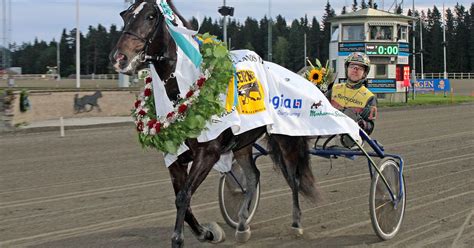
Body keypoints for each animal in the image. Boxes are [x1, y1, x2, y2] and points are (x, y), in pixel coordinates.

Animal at [109, 1, 320, 246]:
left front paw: (181, 238)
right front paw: (206, 232)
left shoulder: (207, 154)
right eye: (124, 15)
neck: (183, 90)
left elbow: (183, 197)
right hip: (243, 143)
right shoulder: (174, 158)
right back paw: (242, 225)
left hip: (285, 137)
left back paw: (296, 223)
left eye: (151, 16)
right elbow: (182, 197)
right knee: (253, 176)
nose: (119, 58)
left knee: (293, 176)